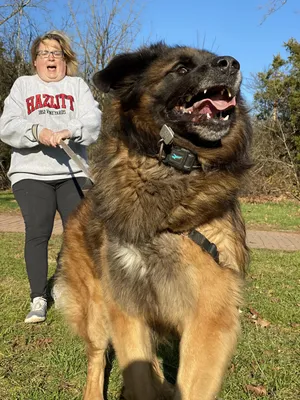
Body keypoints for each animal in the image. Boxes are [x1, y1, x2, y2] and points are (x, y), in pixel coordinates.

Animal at [55, 42, 251, 398]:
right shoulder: (126, 305)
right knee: (97, 356)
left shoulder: (210, 318)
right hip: (97, 309)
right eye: (181, 69)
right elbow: (137, 373)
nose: (230, 63)